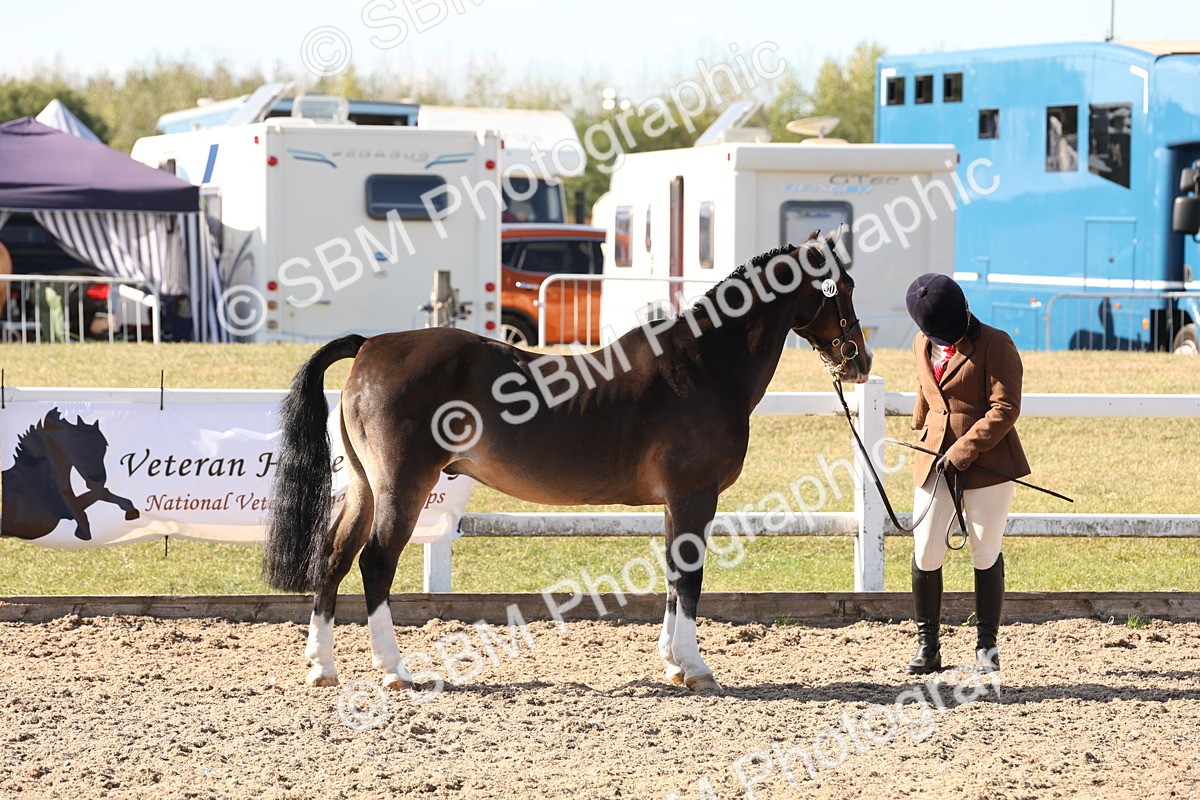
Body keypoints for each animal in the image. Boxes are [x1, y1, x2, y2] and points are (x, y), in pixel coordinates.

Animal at [1, 408, 140, 540]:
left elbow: (101, 493)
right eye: (78, 446)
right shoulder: (63, 511)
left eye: (104, 446)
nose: (98, 480)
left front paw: (131, 511)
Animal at [264, 227, 872, 693]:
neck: (704, 363)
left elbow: (673, 576)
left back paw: (322, 668)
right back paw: (395, 670)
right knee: (375, 562)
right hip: (402, 486)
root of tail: (371, 344)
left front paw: (673, 663)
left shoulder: (675, 504)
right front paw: (696, 668)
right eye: (842, 286)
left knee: (334, 557)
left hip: (366, 486)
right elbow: (690, 577)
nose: (859, 360)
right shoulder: (695, 496)